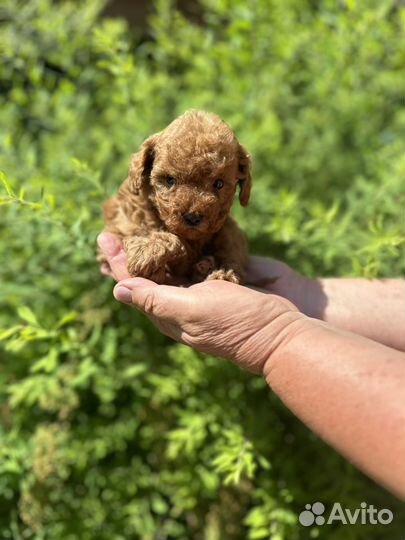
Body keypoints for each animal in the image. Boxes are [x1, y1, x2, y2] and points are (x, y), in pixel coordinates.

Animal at [102, 110, 249, 286]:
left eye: (219, 184)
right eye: (169, 180)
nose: (193, 218)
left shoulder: (226, 229)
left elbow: (232, 246)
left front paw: (223, 273)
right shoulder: (128, 217)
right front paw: (148, 250)